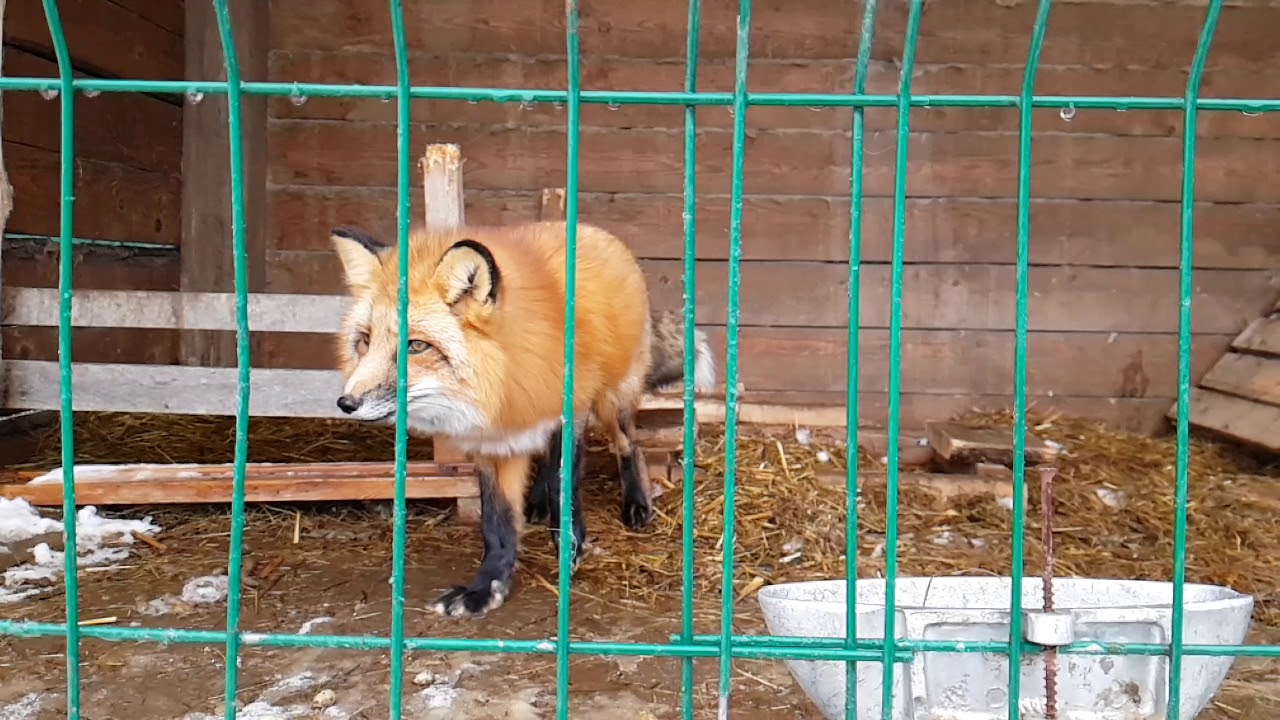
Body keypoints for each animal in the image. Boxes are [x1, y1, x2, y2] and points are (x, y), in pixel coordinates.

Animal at [329, 219, 665, 618]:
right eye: (365, 341)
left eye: (416, 346)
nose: (346, 403)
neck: (505, 375)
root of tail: (592, 229)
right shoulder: (491, 440)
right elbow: (497, 520)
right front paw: (488, 588)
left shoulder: (571, 413)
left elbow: (563, 483)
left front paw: (569, 546)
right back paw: (537, 505)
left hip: (610, 399)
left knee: (629, 443)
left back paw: (637, 503)